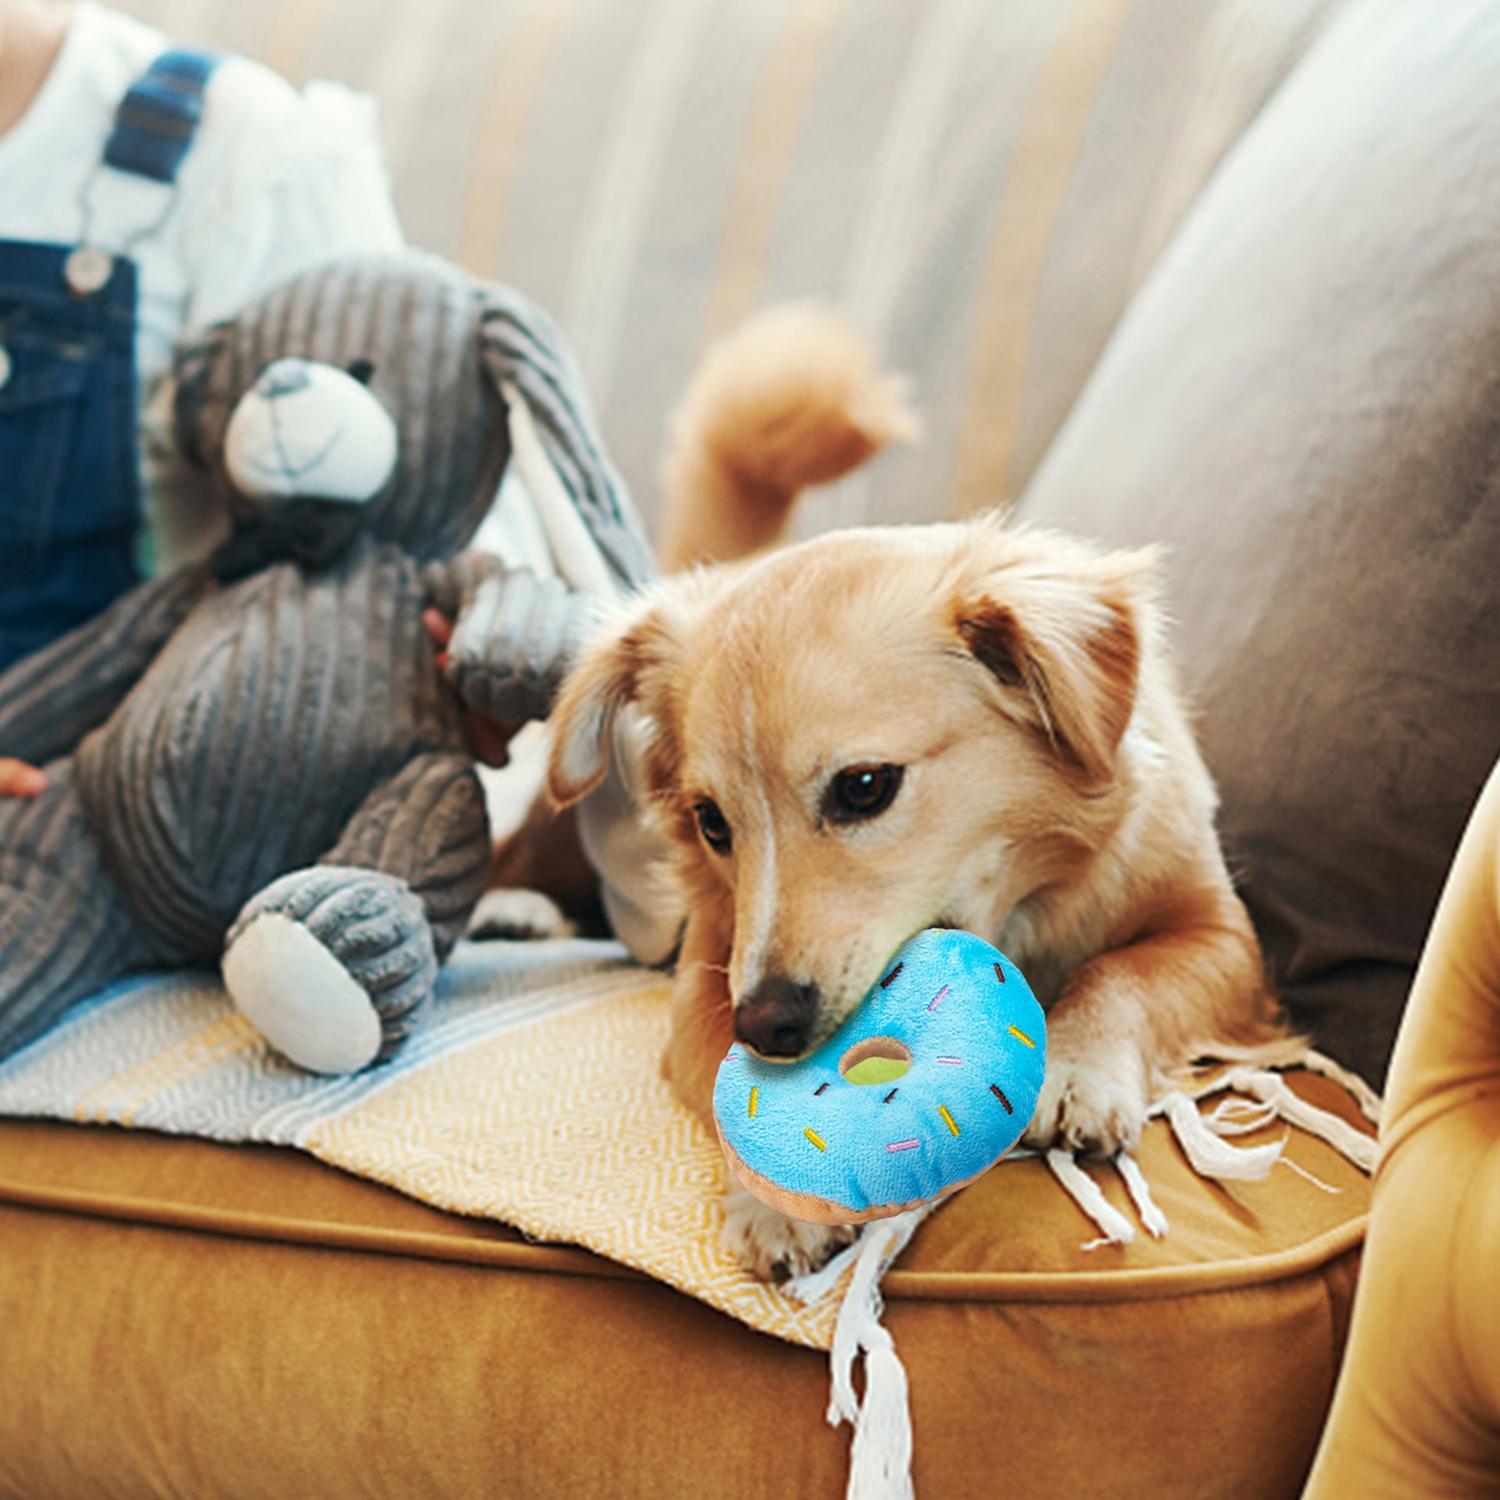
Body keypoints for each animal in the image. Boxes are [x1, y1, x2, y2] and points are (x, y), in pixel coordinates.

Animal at [546, 307, 1272, 1278]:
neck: (1025, 903)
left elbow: (1125, 972)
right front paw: (773, 1198)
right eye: (711, 823)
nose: (768, 1024)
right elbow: (721, 1079)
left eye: (863, 788)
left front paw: (1081, 1067)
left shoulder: (1223, 935)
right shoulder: (706, 977)